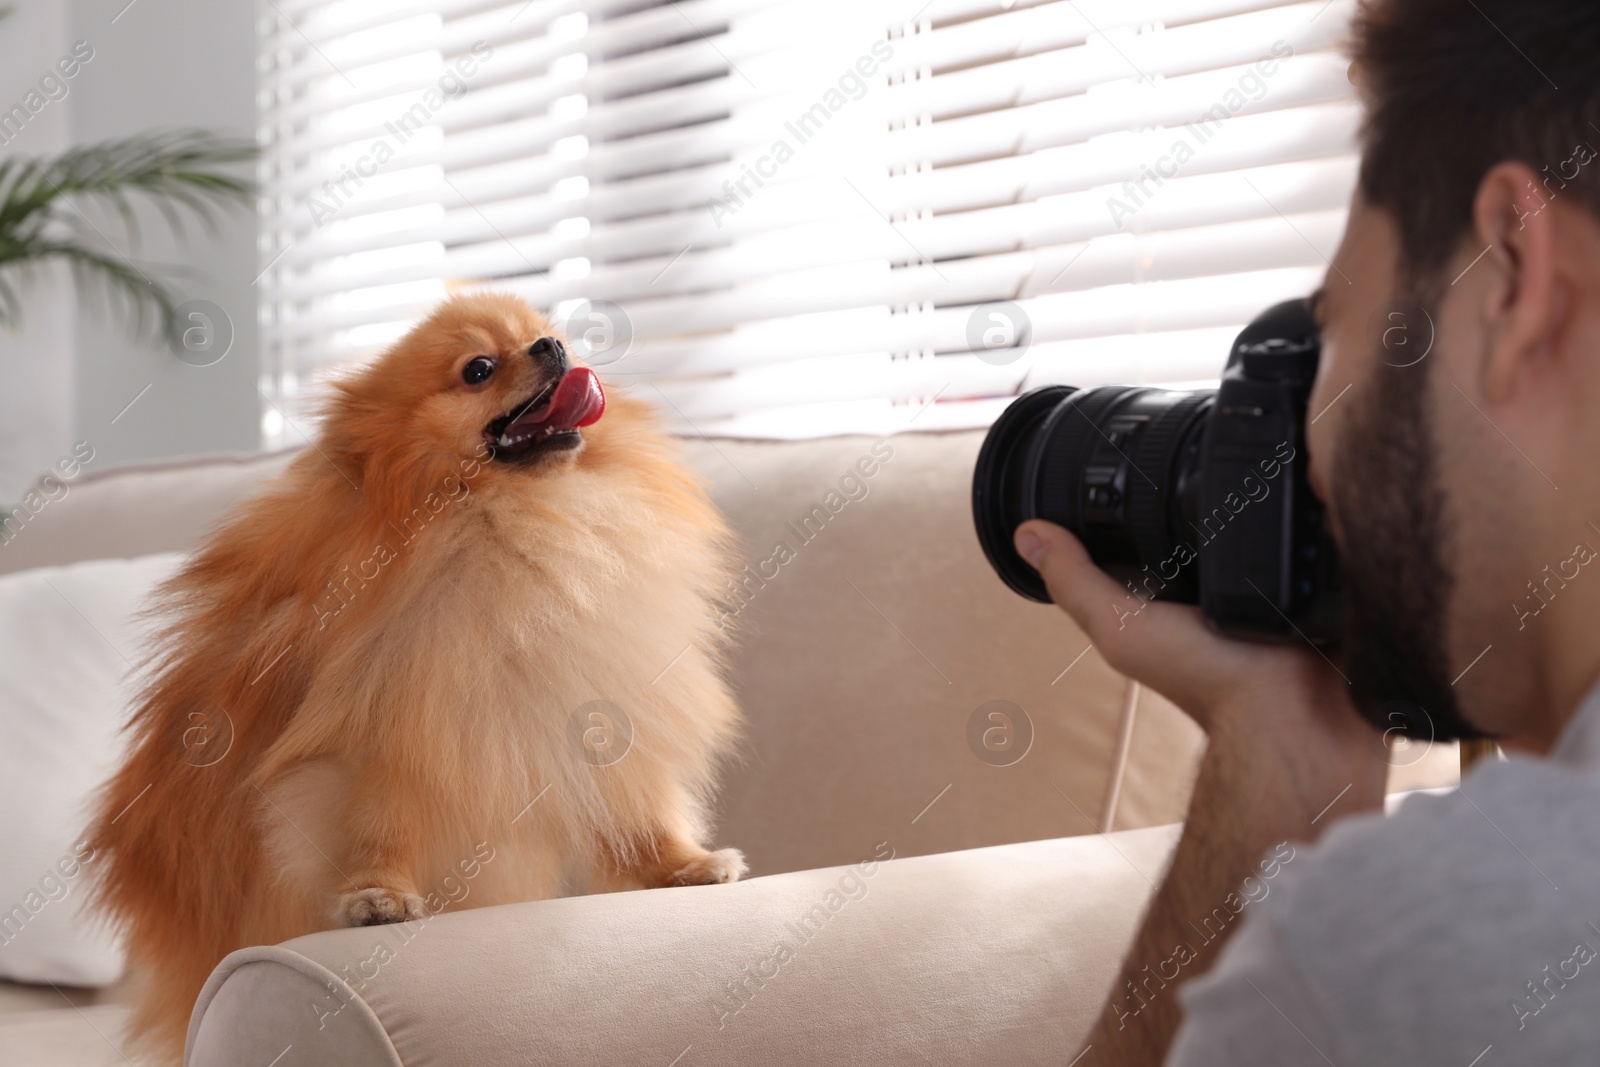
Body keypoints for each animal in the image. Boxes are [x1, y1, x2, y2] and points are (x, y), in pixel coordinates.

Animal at [82, 289, 742, 1062]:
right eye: (478, 368)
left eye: (545, 333)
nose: (552, 347)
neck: (508, 513)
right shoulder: (377, 742)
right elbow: (379, 829)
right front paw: (376, 896)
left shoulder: (594, 701)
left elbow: (639, 810)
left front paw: (683, 866)